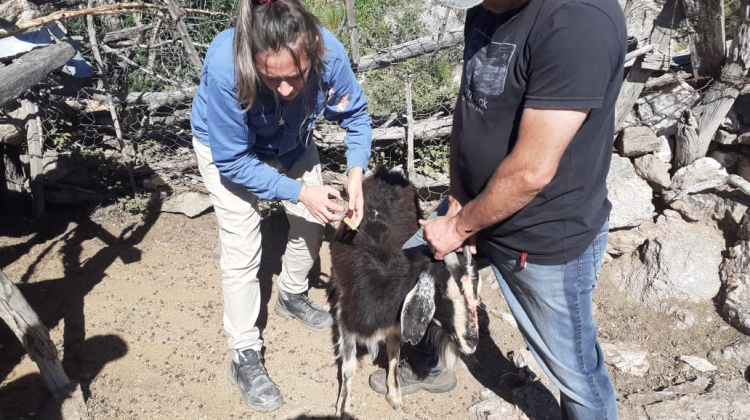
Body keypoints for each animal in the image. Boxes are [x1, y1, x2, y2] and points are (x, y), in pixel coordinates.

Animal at [328, 166, 482, 418]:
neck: (382, 287)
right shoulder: (347, 324)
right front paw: (343, 409)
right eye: (444, 294)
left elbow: (393, 354)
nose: (471, 342)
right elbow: (349, 368)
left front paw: (394, 397)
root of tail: (389, 173)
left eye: (475, 297)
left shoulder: (395, 326)